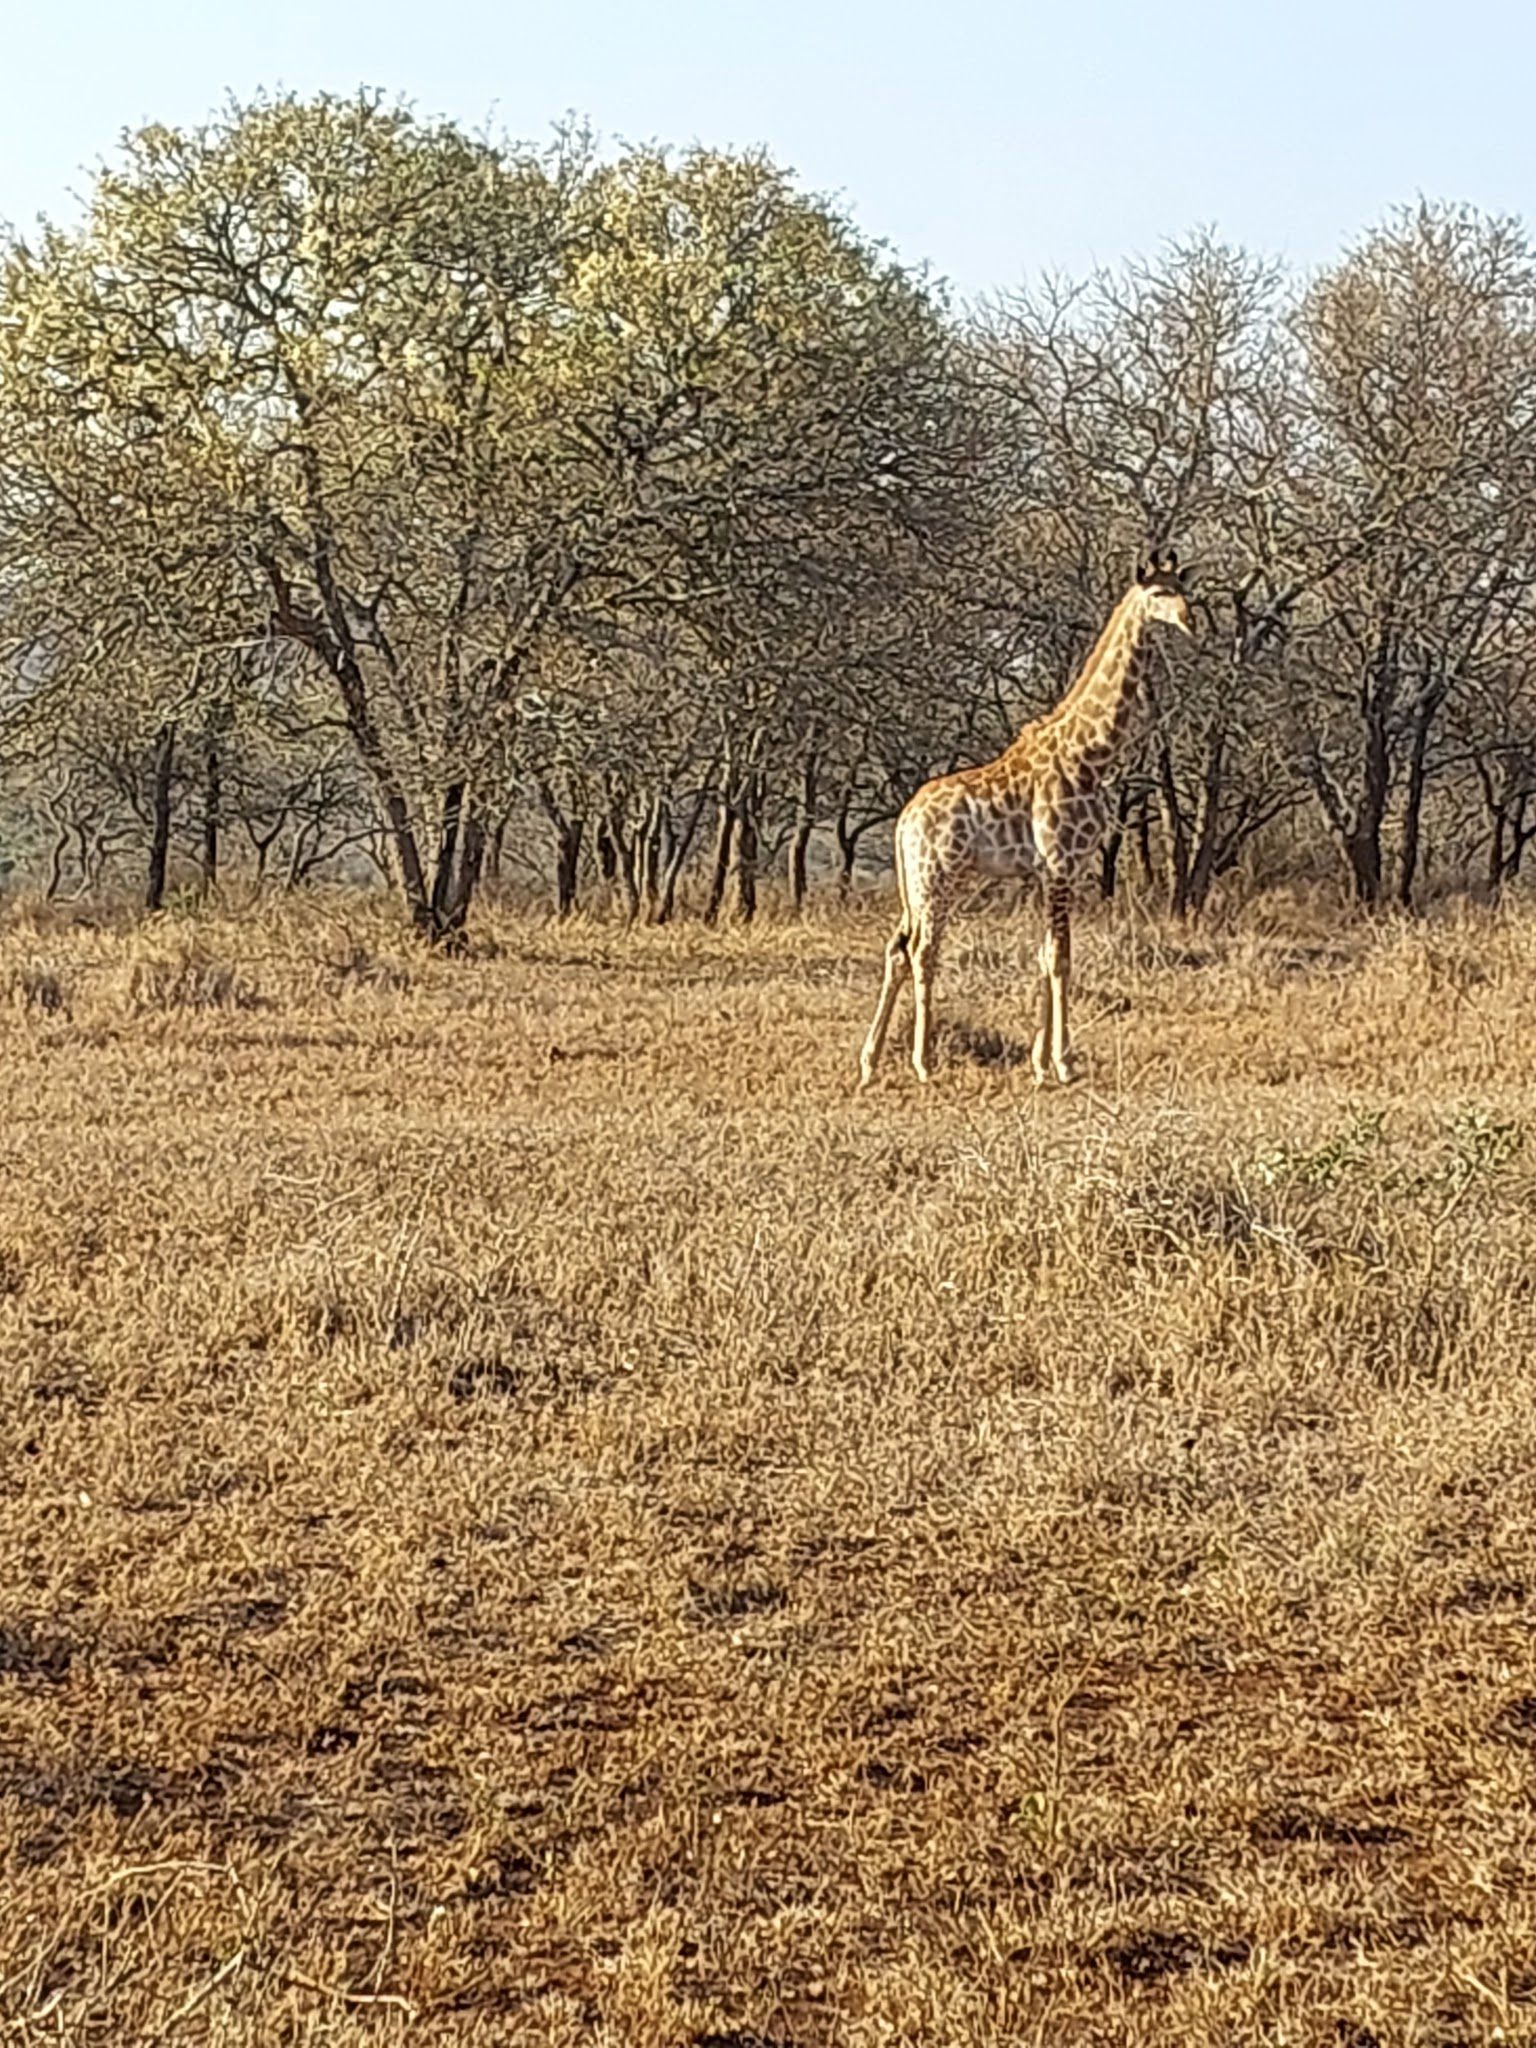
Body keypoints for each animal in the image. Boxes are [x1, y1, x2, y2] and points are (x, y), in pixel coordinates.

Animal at [860, 544, 1196, 1089]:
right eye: (1158, 594)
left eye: (1184, 589)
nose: (1189, 620)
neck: (1090, 752)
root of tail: (904, 820)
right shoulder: (1060, 863)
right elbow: (1060, 958)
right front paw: (1063, 1063)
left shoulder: (1052, 870)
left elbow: (1043, 956)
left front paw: (1040, 1063)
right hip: (940, 876)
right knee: (923, 951)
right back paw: (923, 1062)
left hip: (914, 882)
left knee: (896, 947)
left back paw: (869, 1062)